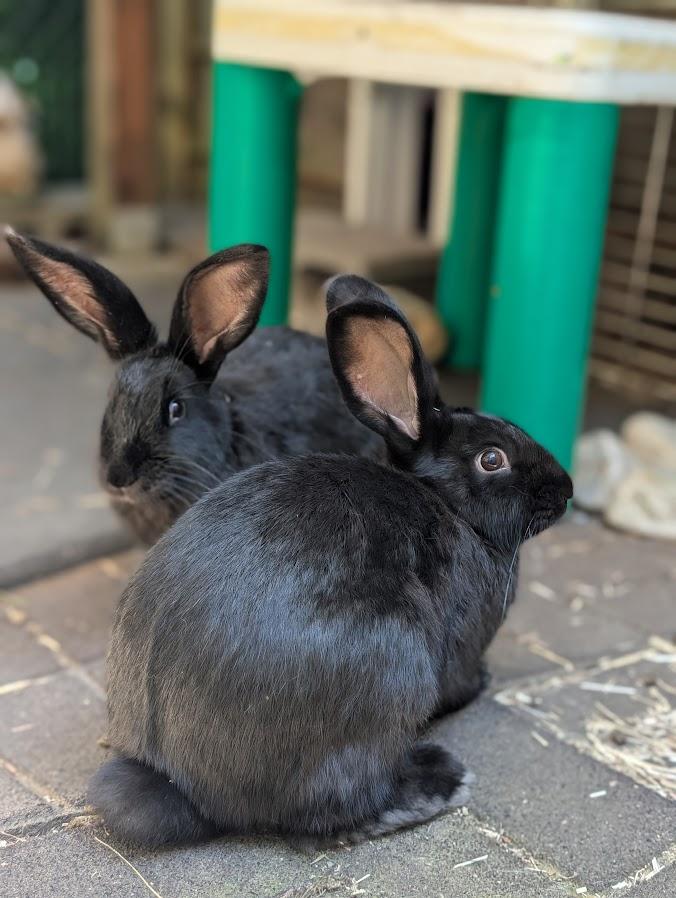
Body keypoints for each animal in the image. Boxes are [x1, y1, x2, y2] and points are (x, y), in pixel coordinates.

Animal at [88, 274, 573, 848]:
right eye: (492, 459)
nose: (565, 490)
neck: (448, 505)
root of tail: (183, 785)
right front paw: (479, 684)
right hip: (391, 674)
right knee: (329, 809)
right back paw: (437, 785)